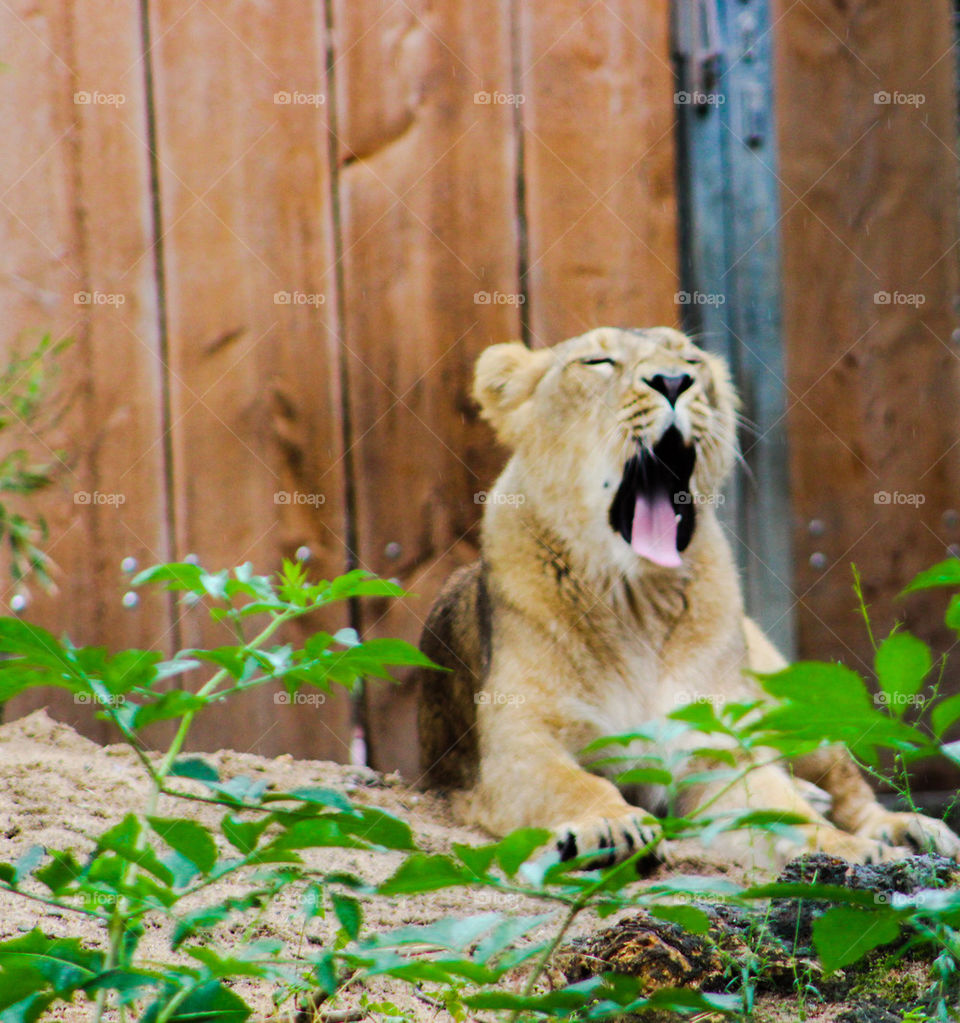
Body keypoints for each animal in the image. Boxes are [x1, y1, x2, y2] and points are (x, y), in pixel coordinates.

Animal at [411, 325, 957, 871]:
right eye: (597, 362)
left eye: (692, 361)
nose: (673, 381)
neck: (637, 601)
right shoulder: (516, 750)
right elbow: (572, 785)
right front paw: (608, 827)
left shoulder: (716, 749)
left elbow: (785, 814)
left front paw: (848, 851)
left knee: (850, 790)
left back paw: (910, 830)